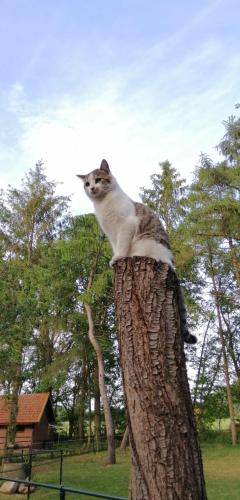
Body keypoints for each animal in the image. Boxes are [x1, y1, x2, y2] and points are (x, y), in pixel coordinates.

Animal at [78, 160, 196, 344]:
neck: (103, 204)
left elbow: (122, 246)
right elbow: (116, 246)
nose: (92, 189)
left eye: (98, 179)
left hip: (145, 243)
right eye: (87, 184)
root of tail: (170, 262)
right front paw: (115, 257)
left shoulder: (126, 226)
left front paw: (118, 258)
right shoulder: (111, 235)